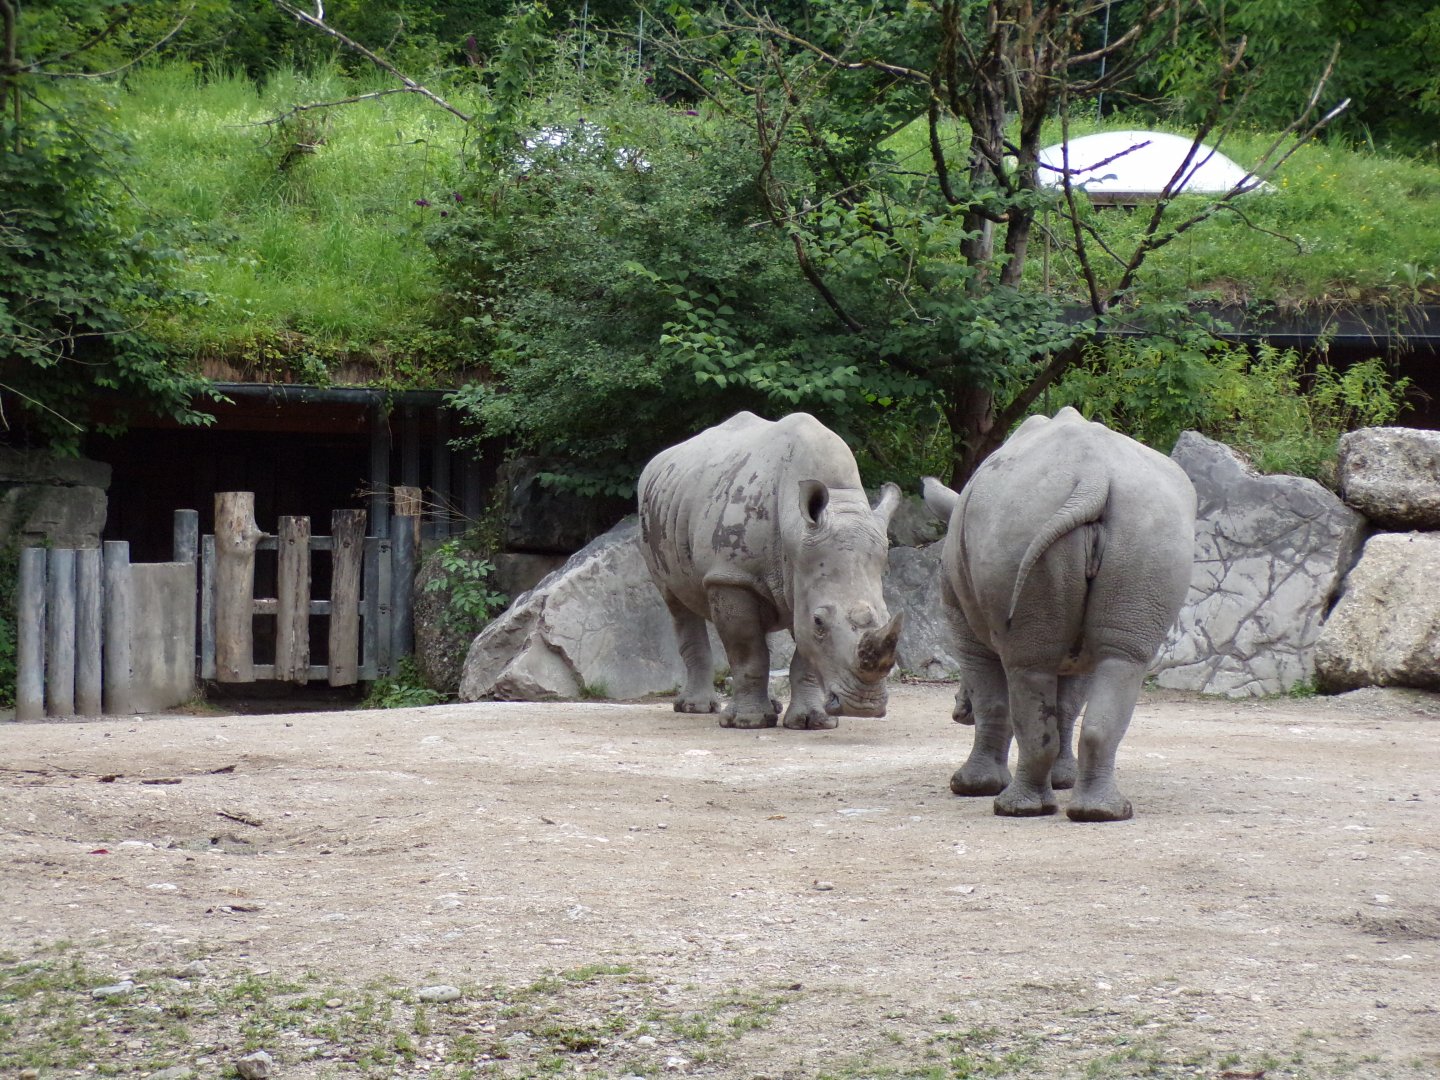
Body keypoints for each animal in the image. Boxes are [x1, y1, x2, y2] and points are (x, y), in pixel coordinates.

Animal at [638, 411, 904, 729]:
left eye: (888, 618)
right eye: (819, 622)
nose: (864, 707)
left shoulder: (803, 577)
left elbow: (804, 657)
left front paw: (811, 722)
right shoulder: (731, 576)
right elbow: (748, 653)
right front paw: (748, 722)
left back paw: (771, 706)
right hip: (657, 517)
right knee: (677, 603)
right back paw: (696, 709)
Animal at [923, 407, 1196, 821]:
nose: (957, 713)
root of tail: (1094, 476)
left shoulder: (960, 623)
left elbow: (992, 699)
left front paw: (971, 787)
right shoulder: (1077, 649)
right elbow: (1068, 703)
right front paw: (1064, 780)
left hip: (1020, 521)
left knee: (1027, 663)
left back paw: (1014, 809)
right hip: (1150, 528)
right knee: (1122, 658)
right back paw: (1102, 813)